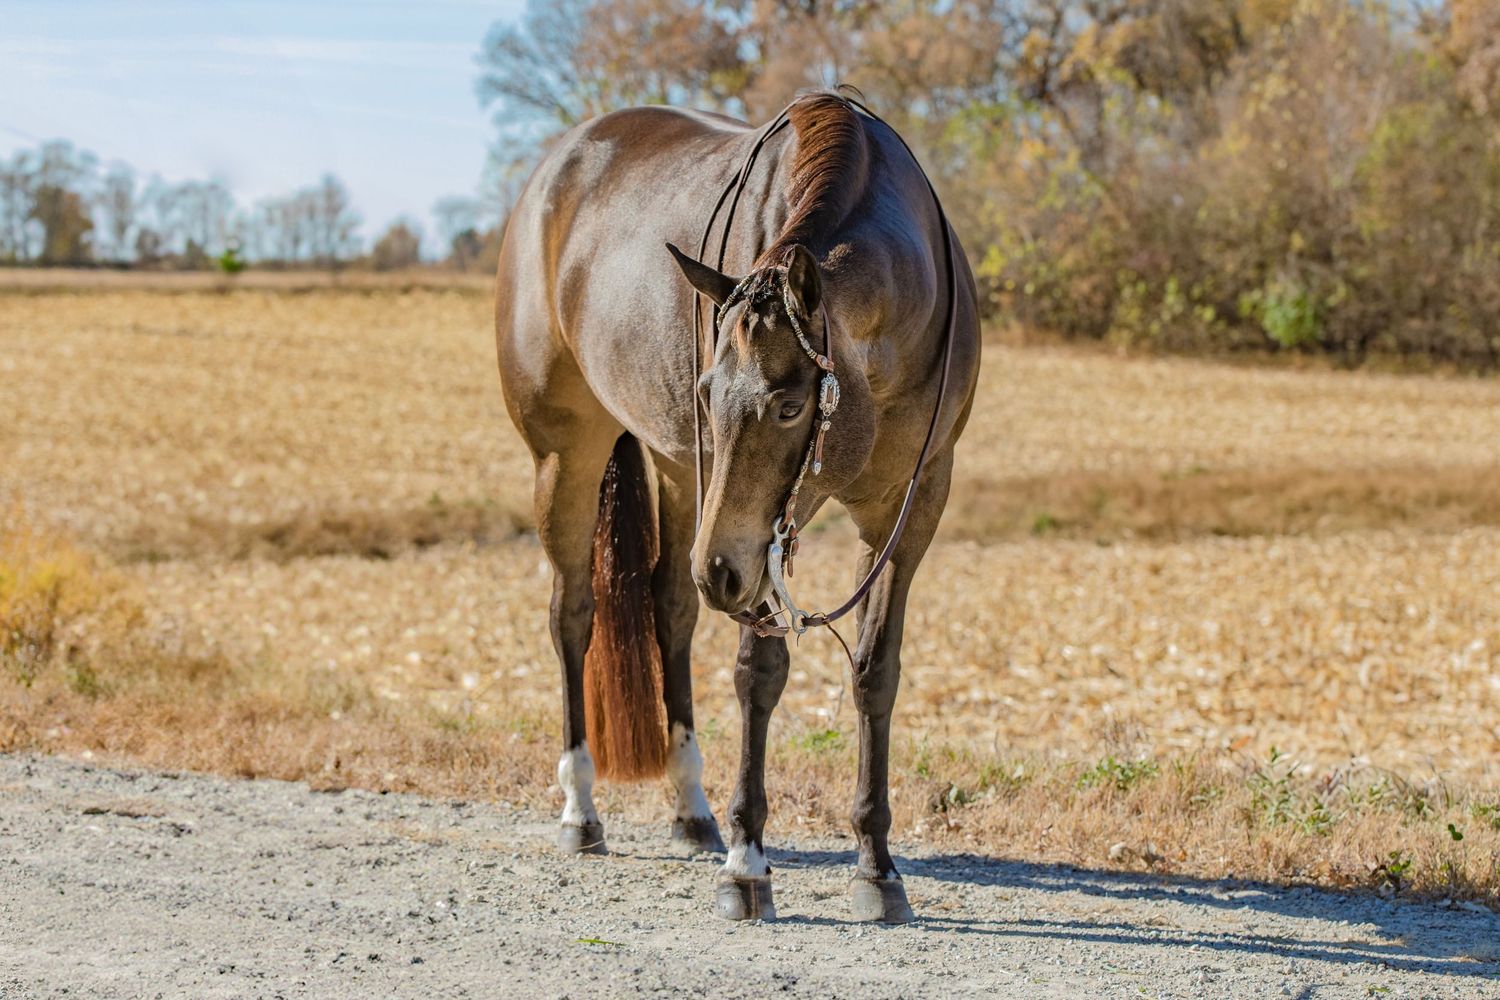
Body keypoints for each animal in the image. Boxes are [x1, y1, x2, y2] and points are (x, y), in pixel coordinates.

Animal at [494, 91, 980, 922]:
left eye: (789, 407)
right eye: (706, 393)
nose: (720, 572)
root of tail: (556, 168)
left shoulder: (911, 507)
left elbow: (875, 673)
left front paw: (876, 865)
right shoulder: (760, 539)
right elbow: (761, 671)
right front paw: (748, 863)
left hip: (683, 481)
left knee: (669, 608)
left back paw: (692, 809)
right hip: (568, 460)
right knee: (573, 615)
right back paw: (580, 811)